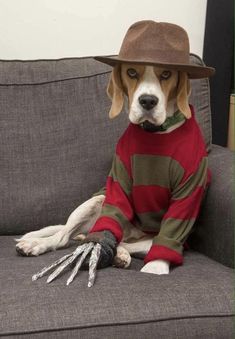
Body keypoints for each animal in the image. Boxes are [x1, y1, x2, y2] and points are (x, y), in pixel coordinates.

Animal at [14, 20, 213, 276]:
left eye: (167, 74)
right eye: (132, 72)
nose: (147, 101)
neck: (157, 133)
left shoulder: (189, 191)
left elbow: (168, 237)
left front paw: (155, 268)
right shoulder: (119, 181)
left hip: (146, 237)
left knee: (125, 242)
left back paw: (120, 254)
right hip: (96, 201)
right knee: (65, 237)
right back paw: (37, 244)